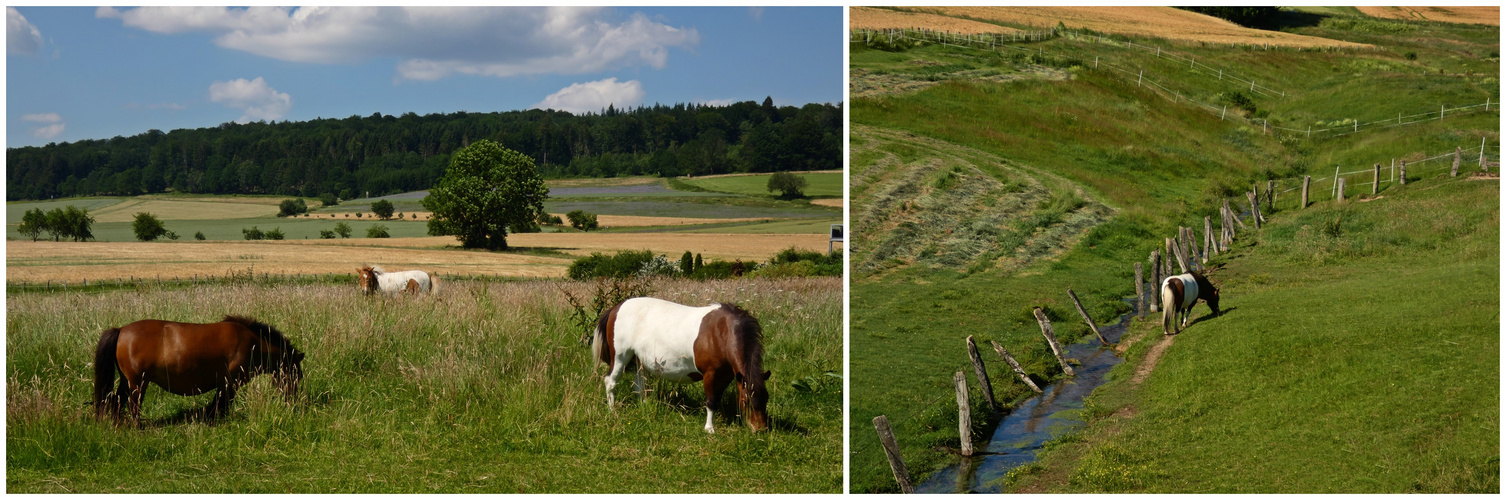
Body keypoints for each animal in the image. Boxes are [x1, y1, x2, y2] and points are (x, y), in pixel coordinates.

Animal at [94, 314, 302, 424]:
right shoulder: (231, 382)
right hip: (138, 382)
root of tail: (121, 330)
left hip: (126, 381)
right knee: (133, 405)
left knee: (116, 402)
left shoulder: (226, 383)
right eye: (296, 375)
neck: (252, 344)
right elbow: (222, 403)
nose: (294, 402)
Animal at [590, 296, 771, 433]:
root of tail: (616, 308)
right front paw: (709, 428)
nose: (760, 429)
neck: (722, 332)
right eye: (746, 401)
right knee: (610, 382)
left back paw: (644, 406)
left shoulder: (726, 376)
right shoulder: (710, 374)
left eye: (766, 399)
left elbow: (717, 398)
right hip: (620, 357)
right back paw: (613, 410)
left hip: (638, 361)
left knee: (639, 386)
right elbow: (711, 400)